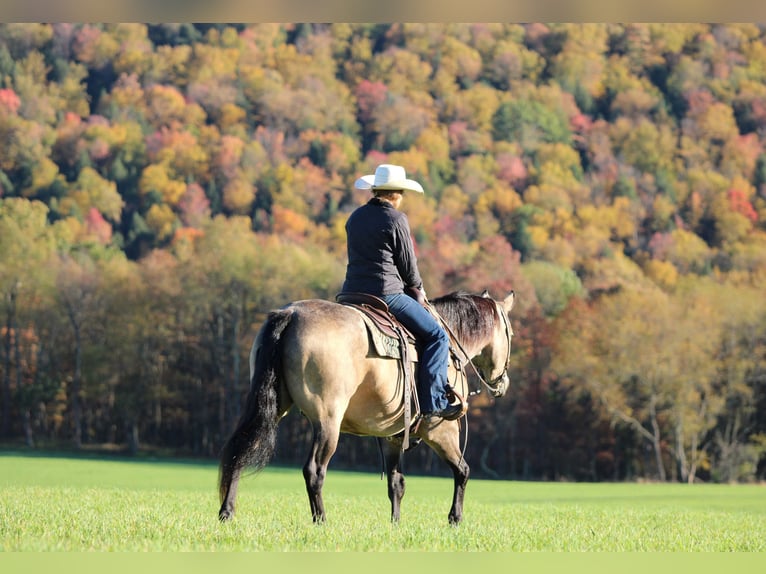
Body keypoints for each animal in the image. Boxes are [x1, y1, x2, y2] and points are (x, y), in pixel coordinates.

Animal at [218, 289, 515, 525]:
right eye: (510, 332)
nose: (503, 383)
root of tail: (291, 314)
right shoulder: (441, 431)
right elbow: (462, 470)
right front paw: (455, 518)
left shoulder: (391, 436)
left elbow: (397, 483)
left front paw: (395, 524)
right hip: (328, 422)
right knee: (314, 470)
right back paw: (321, 520)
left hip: (272, 407)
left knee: (242, 451)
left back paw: (227, 512)